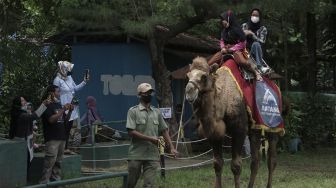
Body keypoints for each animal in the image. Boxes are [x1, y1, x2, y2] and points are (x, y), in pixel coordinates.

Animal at [185, 57, 280, 188]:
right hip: (254, 129)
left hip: (273, 126)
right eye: (188, 75)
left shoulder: (239, 130)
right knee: (255, 160)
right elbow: (217, 163)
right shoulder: (215, 134)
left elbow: (236, 166)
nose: (189, 91)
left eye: (204, 76)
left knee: (272, 159)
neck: (224, 102)